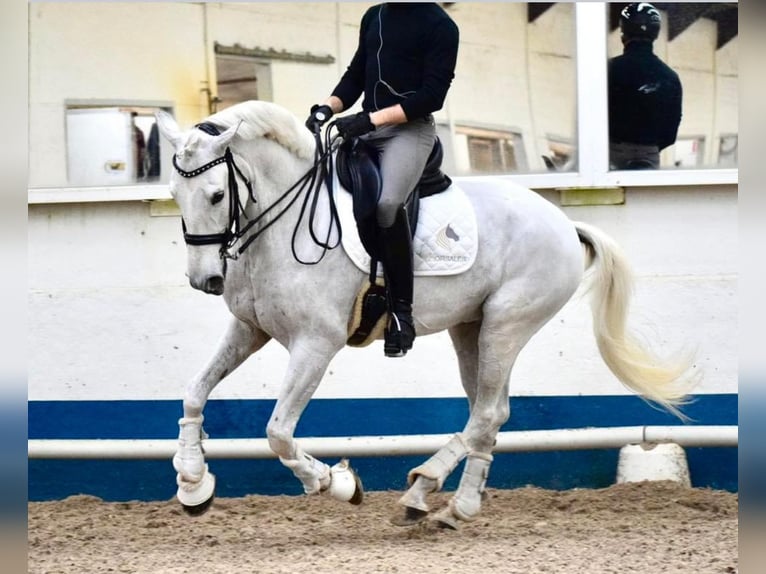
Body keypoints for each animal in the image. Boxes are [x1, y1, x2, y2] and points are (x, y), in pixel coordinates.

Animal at [156, 100, 696, 532]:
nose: (205, 280)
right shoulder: (250, 329)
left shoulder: (316, 343)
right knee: (490, 411)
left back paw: (424, 489)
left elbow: (278, 434)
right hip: (471, 328)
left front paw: (337, 482)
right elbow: (194, 393)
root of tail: (564, 223)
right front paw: (193, 483)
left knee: (486, 413)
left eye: (216, 195)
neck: (282, 220)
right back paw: (455, 507)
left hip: (506, 325)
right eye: (174, 194)